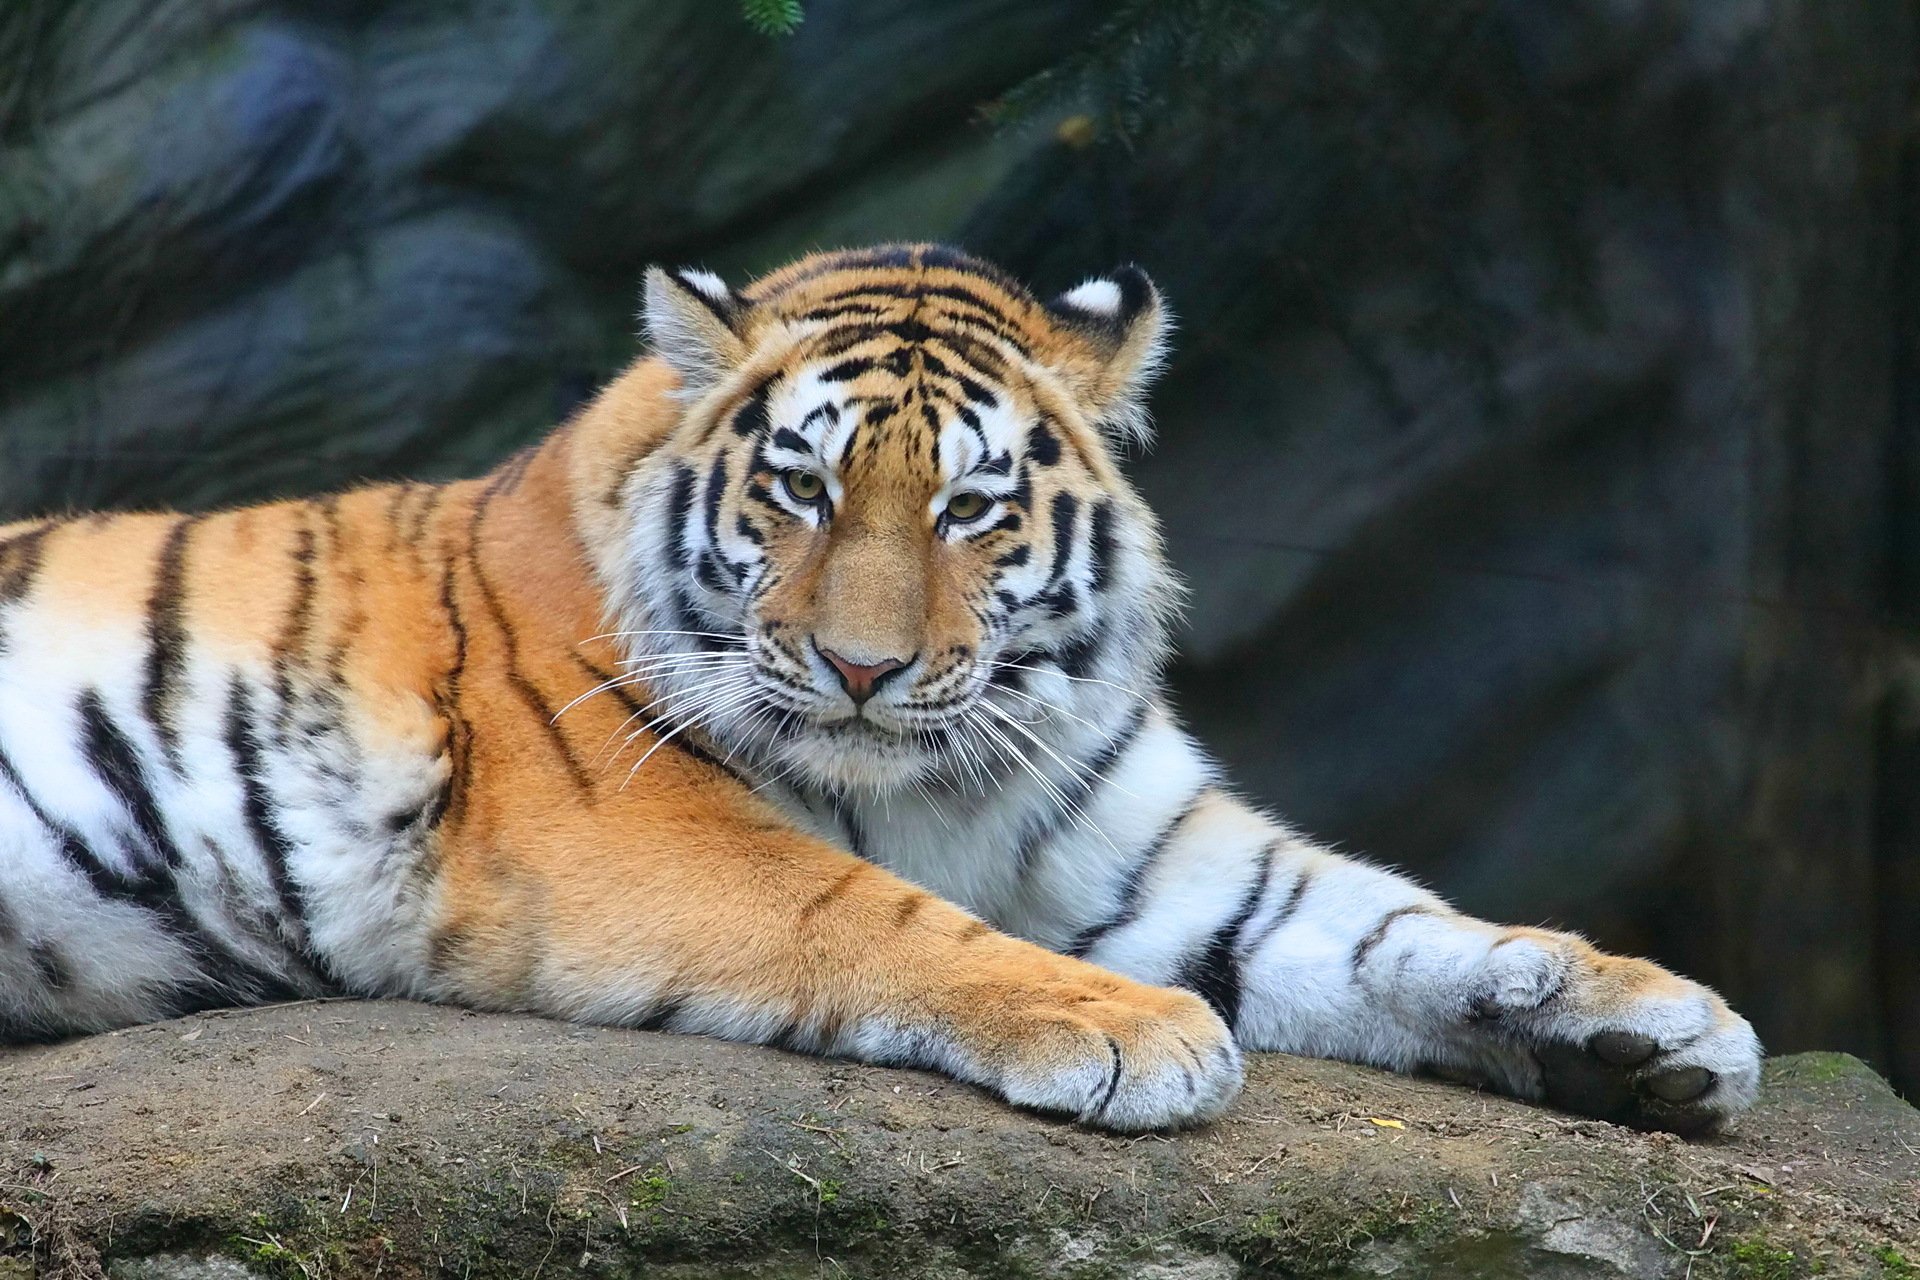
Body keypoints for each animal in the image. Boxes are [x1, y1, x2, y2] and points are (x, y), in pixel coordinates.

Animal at [0, 244, 1760, 1134]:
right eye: (802, 488)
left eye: (970, 509)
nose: (862, 665)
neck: (941, 780)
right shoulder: (625, 831)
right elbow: (866, 914)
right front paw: (1129, 1030)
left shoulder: (1155, 848)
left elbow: (1388, 919)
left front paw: (1642, 1020)